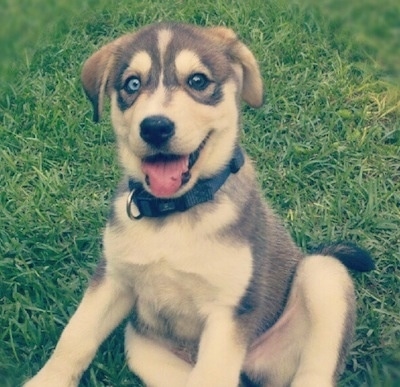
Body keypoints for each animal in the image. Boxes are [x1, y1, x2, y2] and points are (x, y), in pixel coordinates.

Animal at [25, 22, 376, 387]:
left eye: (197, 81)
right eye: (132, 84)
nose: (155, 127)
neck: (173, 214)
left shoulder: (227, 312)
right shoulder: (112, 278)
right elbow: (75, 337)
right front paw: (46, 381)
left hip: (323, 275)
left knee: (314, 368)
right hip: (141, 347)